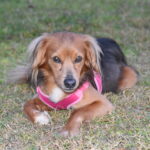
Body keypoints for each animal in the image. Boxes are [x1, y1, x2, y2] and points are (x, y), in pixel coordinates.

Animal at [9, 31, 138, 136]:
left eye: (78, 58)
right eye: (56, 59)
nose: (70, 83)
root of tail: (109, 41)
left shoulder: (103, 103)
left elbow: (78, 112)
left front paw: (68, 130)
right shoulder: (45, 99)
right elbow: (26, 105)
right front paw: (40, 117)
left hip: (129, 76)